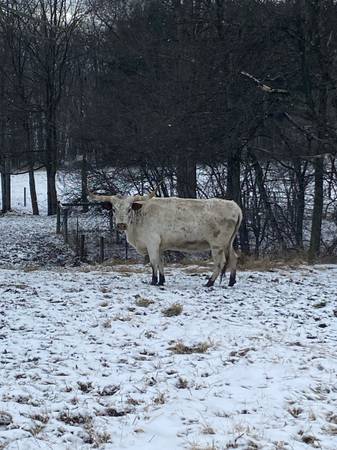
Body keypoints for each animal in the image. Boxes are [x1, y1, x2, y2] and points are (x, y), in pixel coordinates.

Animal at [89, 192, 242, 286]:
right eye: (114, 209)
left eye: (129, 209)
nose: (121, 225)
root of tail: (234, 206)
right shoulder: (160, 246)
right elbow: (161, 262)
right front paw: (161, 280)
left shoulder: (152, 243)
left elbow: (153, 262)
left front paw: (153, 281)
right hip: (228, 243)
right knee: (234, 257)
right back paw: (231, 282)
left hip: (217, 245)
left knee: (220, 263)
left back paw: (209, 283)